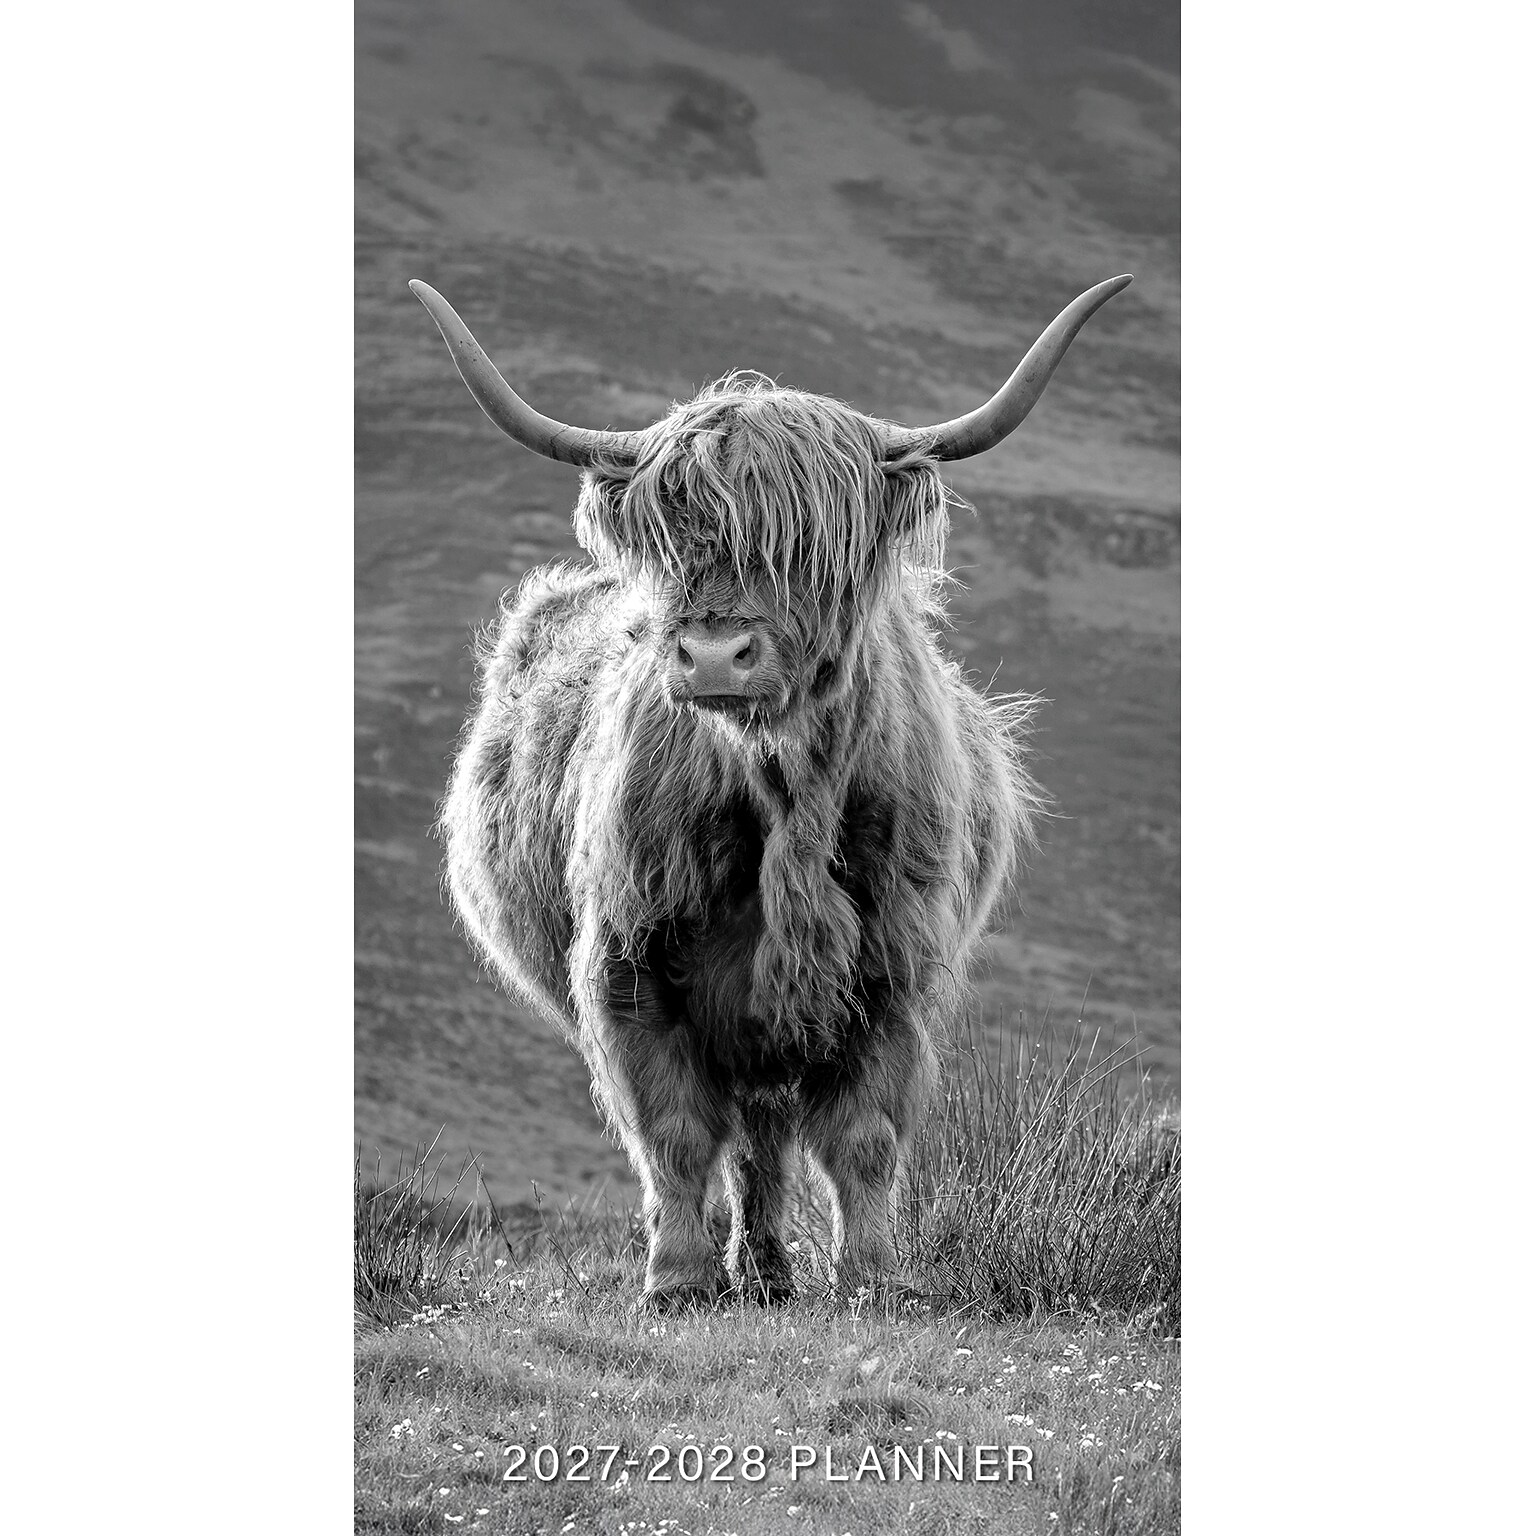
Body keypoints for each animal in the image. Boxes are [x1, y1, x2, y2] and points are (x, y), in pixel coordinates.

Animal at [412, 272, 1131, 1308]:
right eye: (674, 536)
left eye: (809, 545)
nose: (716, 654)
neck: (787, 795)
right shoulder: (628, 959)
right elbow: (673, 1133)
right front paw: (675, 1280)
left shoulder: (893, 968)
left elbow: (863, 1138)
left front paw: (873, 1279)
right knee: (745, 1130)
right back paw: (746, 1269)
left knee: (768, 1131)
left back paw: (770, 1271)